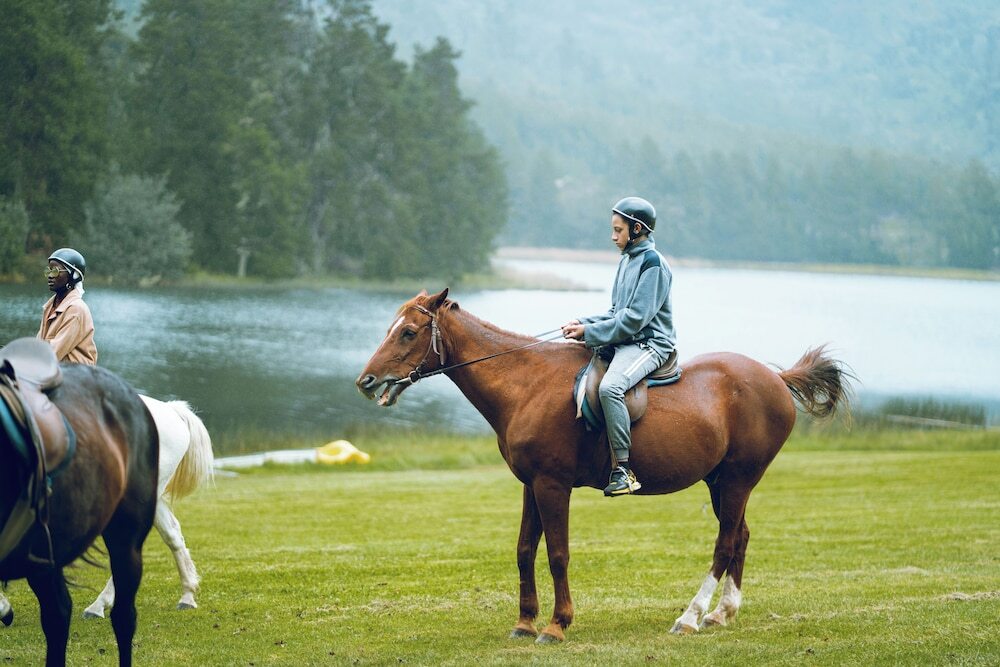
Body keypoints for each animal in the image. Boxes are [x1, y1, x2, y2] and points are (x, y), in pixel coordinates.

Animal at [356, 289, 852, 643]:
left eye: (408, 333)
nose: (366, 381)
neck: (526, 383)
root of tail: (776, 378)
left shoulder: (552, 486)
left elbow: (556, 554)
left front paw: (556, 626)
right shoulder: (530, 485)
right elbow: (524, 550)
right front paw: (524, 623)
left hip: (736, 482)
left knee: (725, 544)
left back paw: (691, 617)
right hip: (723, 484)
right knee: (741, 537)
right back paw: (722, 614)